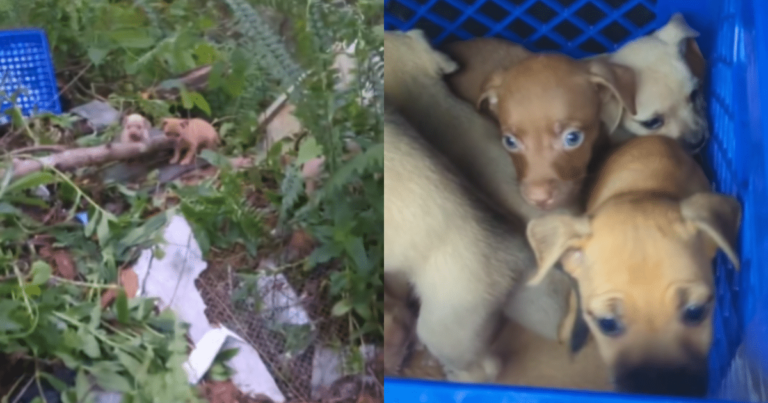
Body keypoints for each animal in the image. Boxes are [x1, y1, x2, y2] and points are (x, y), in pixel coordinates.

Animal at [524, 135, 740, 398]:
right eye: (607, 324)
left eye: (695, 311)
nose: (662, 392)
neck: (644, 190)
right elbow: (576, 298)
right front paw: (567, 328)